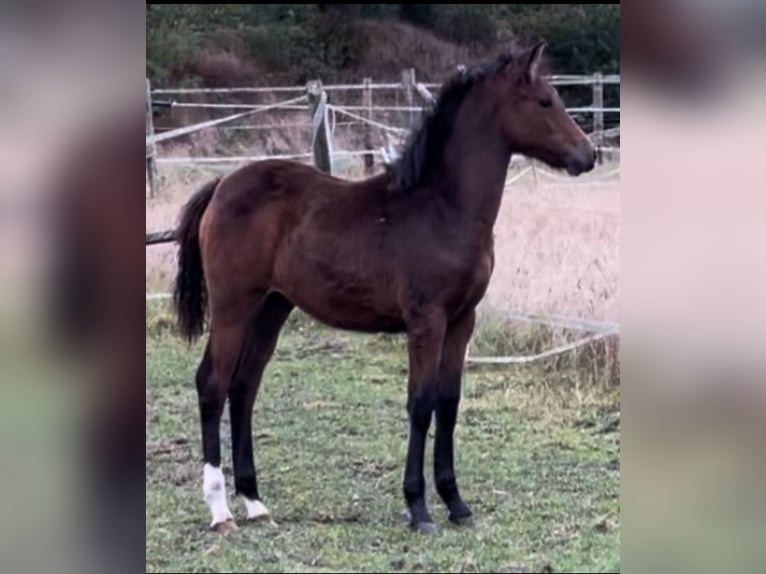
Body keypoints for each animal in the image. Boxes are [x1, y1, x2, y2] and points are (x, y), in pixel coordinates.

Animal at [172, 42, 592, 536]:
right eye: (545, 101)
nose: (588, 155)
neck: (442, 208)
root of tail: (222, 185)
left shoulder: (462, 320)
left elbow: (449, 403)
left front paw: (457, 504)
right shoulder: (426, 320)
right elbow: (421, 403)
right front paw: (419, 507)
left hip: (271, 308)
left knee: (244, 387)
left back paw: (255, 502)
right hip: (233, 304)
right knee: (212, 383)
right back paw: (220, 512)